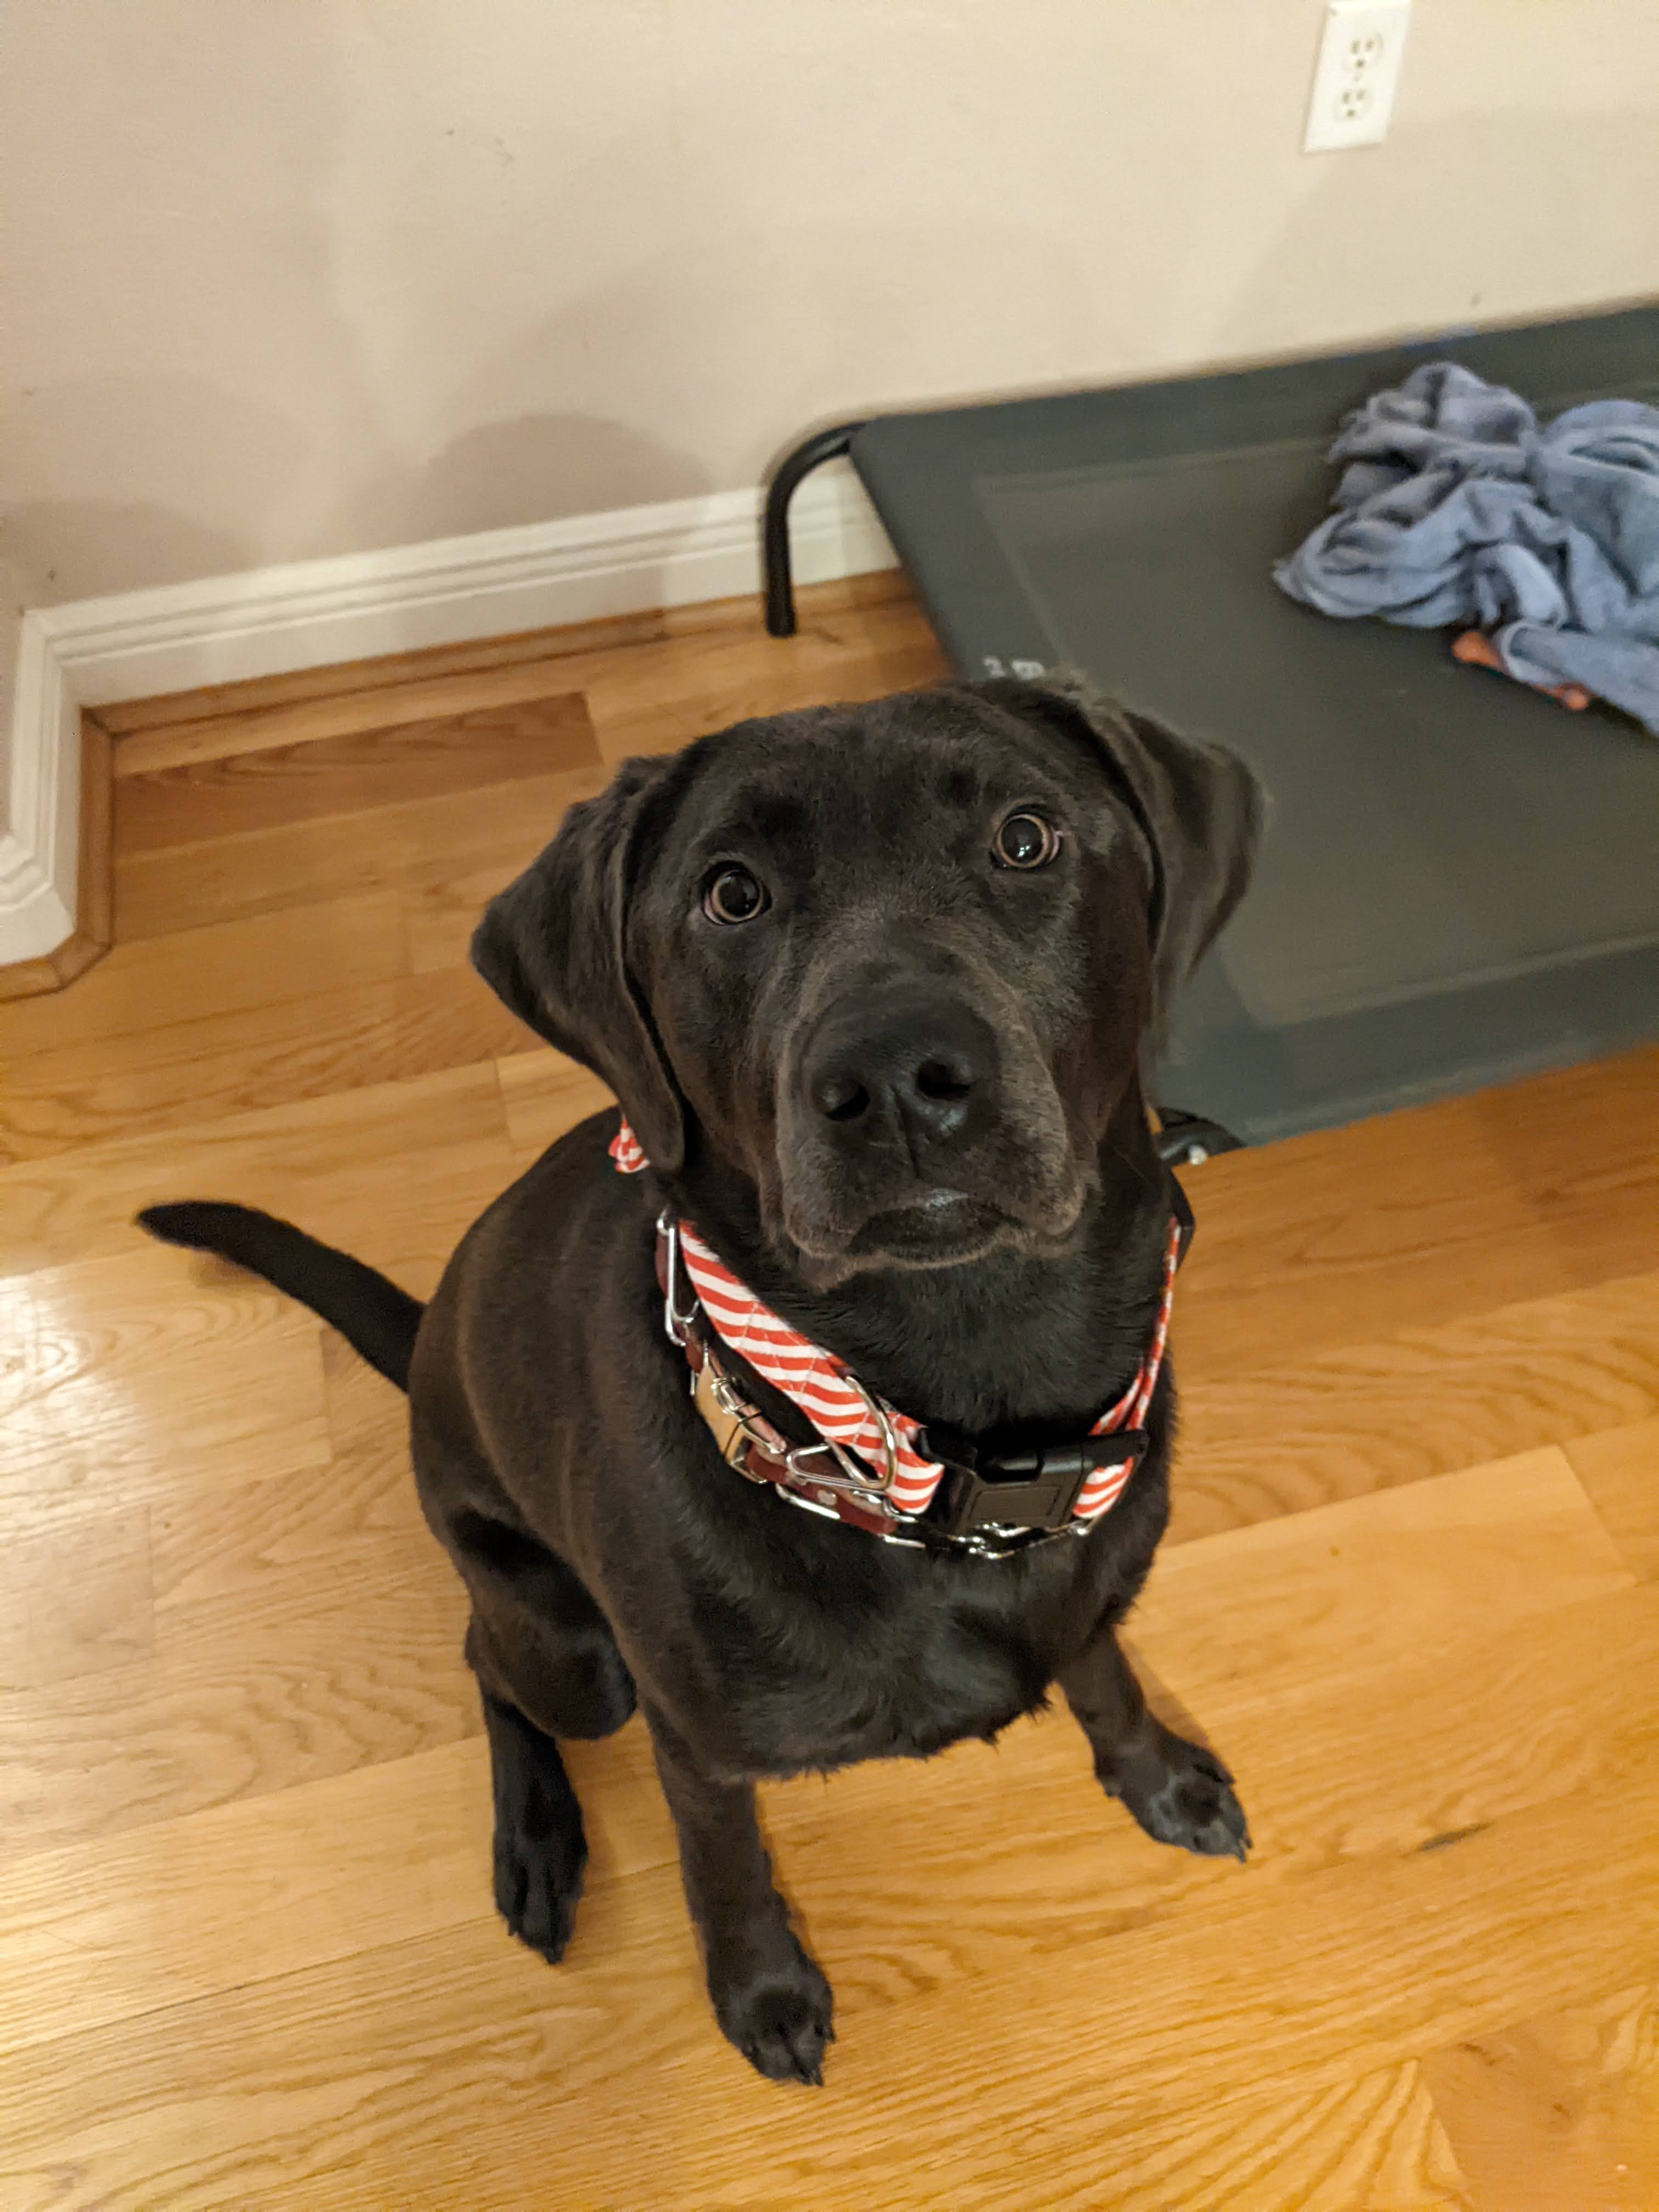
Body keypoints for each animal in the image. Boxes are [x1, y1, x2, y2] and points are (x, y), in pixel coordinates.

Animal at [140, 663, 1256, 2079]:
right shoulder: (692, 1737)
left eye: (1026, 838)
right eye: (732, 894)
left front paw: (1157, 1771)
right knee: (484, 1657)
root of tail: (432, 1332)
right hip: (579, 1659)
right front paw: (761, 1987)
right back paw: (536, 1841)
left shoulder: (1090, 1597)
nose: (897, 1077)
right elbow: (721, 1859)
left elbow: (1100, 1668)